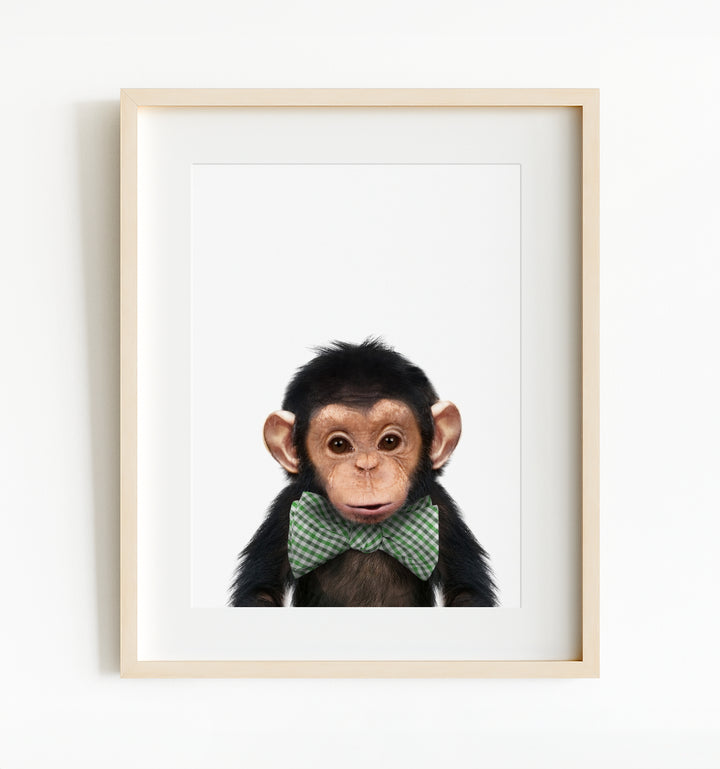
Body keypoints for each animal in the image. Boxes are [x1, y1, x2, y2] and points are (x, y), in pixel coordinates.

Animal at [229, 339, 497, 607]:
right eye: (339, 445)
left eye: (389, 442)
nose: (367, 467)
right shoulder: (284, 512)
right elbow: (262, 591)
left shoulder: (444, 511)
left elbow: (466, 591)